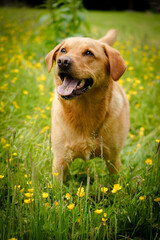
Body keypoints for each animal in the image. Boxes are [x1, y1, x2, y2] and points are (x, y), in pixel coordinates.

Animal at [45, 29, 130, 180]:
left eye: (88, 53)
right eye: (63, 50)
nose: (63, 61)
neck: (84, 109)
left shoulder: (113, 159)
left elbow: (116, 182)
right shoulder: (60, 160)